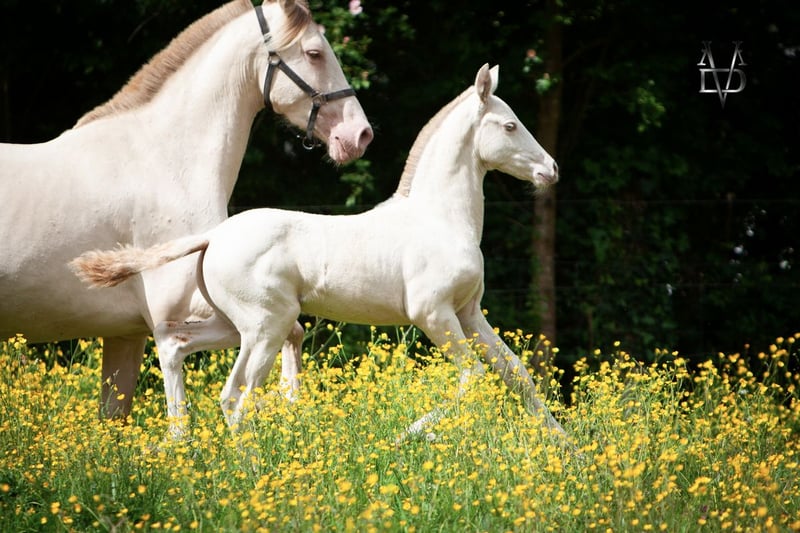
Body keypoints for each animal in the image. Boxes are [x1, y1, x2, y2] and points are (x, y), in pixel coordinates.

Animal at [72, 64, 565, 438]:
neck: (440, 218)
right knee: (235, 396)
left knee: (180, 350)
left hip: (240, 326)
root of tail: (215, 236)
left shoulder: (468, 312)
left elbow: (517, 375)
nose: (551, 169)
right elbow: (474, 377)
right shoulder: (433, 313)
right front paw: (407, 435)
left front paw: (569, 450)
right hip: (267, 326)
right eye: (510, 125)